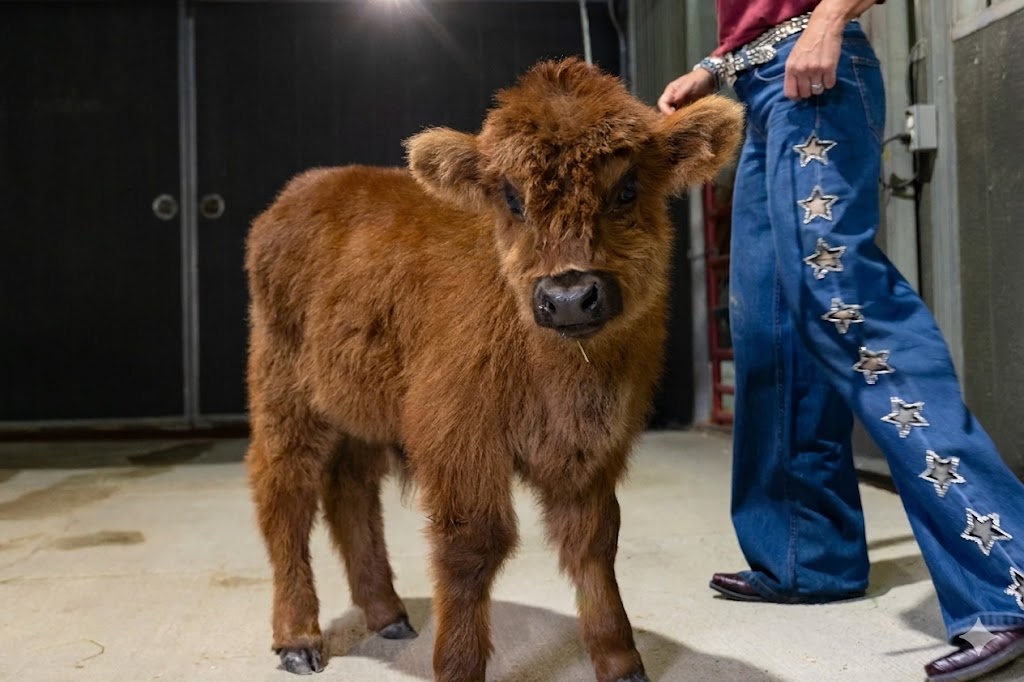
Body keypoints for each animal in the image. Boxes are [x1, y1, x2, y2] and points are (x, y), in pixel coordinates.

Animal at [245, 58, 743, 682]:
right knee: (285, 493)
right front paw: (458, 665)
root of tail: (296, 196)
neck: (565, 376)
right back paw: (298, 638)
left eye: (627, 189)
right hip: (286, 395)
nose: (569, 296)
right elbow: (474, 546)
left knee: (350, 492)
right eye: (511, 196)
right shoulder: (461, 442)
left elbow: (595, 540)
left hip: (356, 409)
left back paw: (387, 615)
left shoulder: (593, 450)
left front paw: (620, 660)